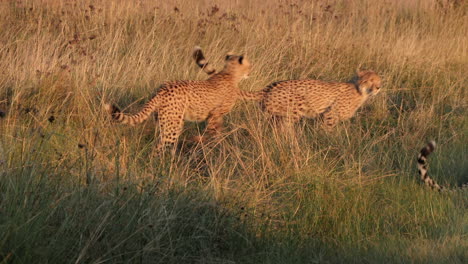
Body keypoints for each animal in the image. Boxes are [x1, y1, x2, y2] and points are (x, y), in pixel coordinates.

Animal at [106, 47, 252, 151]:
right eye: (249, 65)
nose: (250, 72)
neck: (229, 74)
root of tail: (161, 89)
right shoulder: (214, 115)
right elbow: (212, 132)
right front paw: (211, 145)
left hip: (165, 121)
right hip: (173, 126)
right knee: (160, 146)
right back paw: (163, 165)